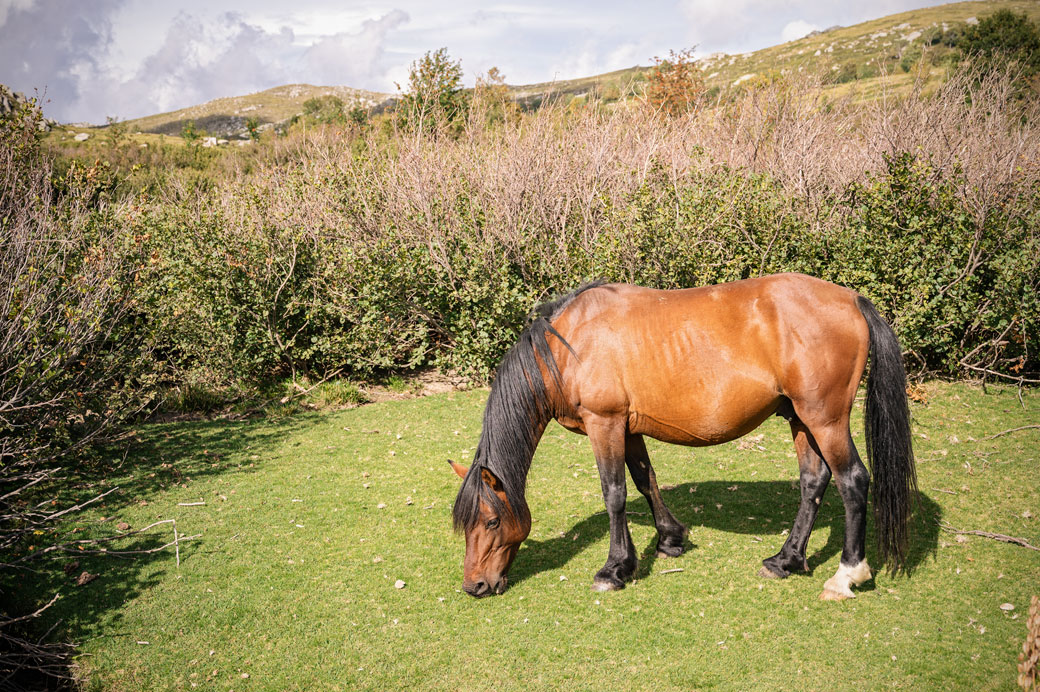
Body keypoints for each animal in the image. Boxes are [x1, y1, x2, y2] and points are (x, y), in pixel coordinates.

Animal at [447, 274, 911, 599]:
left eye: (490, 521)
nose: (475, 586)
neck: (568, 345)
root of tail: (851, 299)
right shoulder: (628, 427)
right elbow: (644, 481)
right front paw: (668, 539)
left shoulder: (605, 423)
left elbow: (614, 493)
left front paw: (614, 569)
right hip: (801, 418)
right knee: (814, 482)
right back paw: (786, 560)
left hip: (825, 419)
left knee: (853, 481)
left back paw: (847, 575)